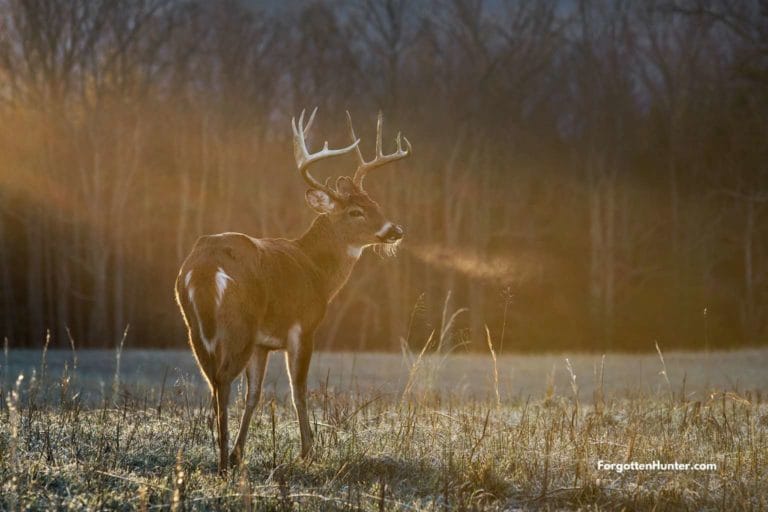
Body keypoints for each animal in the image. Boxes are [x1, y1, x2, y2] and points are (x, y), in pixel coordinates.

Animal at [174, 108, 411, 474]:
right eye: (355, 211)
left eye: (375, 203)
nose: (395, 230)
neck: (318, 271)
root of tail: (203, 269)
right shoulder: (303, 326)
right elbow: (298, 388)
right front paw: (308, 451)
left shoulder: (263, 342)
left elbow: (254, 394)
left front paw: (241, 451)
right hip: (238, 325)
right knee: (223, 381)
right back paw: (223, 465)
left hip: (195, 329)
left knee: (213, 383)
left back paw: (224, 455)